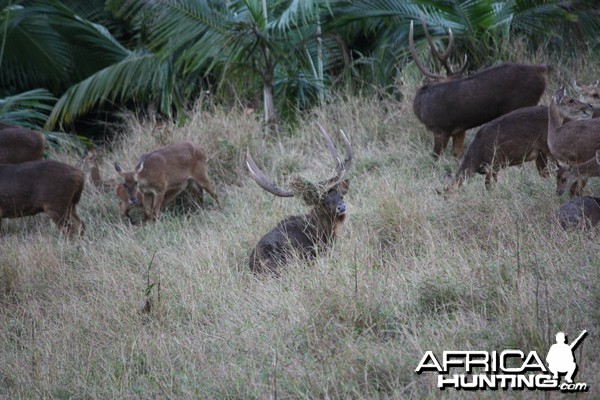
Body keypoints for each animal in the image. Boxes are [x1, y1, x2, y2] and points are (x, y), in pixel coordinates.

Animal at [410, 17, 552, 159]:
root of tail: (542, 70)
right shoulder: (459, 129)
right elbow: (456, 153)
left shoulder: (441, 128)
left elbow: (435, 157)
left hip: (521, 103)